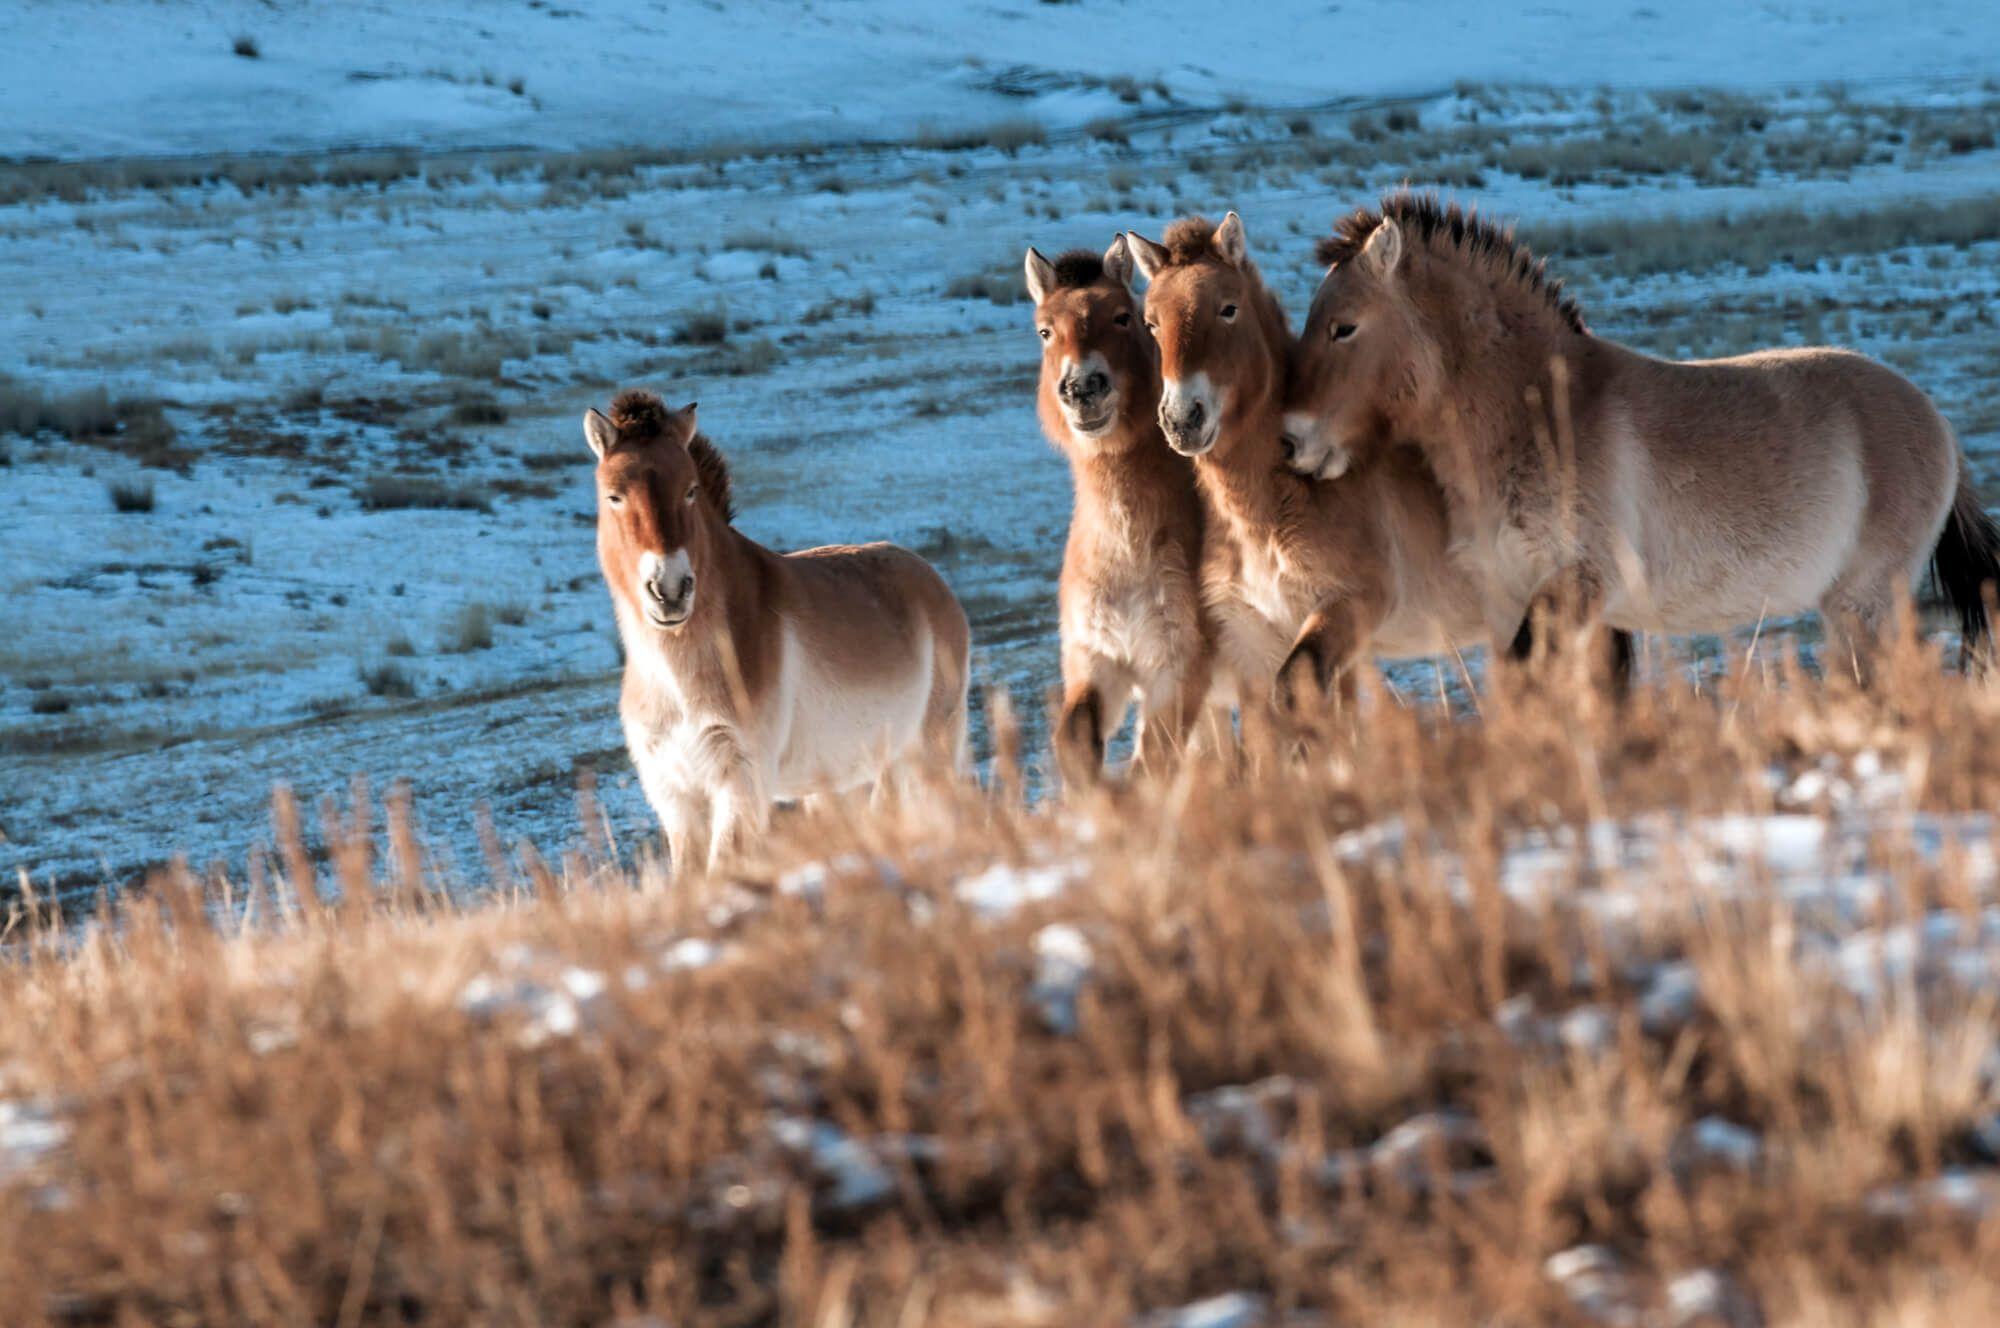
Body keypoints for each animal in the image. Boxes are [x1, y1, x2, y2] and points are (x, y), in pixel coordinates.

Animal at [584, 390, 968, 876]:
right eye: (613, 496)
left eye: (690, 490)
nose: (669, 590)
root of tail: (933, 581)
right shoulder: (677, 798)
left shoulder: (740, 784)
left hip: (926, 755)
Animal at [1024, 237, 1208, 780]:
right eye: (1045, 330)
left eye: (1124, 317)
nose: (1083, 388)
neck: (1126, 556)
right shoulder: (1096, 662)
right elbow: (1074, 743)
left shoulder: (1177, 672)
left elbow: (1150, 765)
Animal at [1280, 193, 2000, 676]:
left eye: (1344, 327)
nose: (1291, 440)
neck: (1539, 415)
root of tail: (1939, 426)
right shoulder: (1520, 600)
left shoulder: (1576, 587)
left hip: (1866, 604)